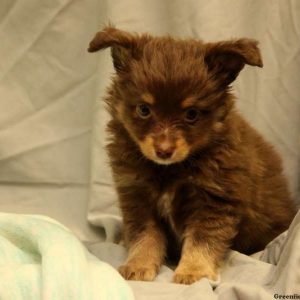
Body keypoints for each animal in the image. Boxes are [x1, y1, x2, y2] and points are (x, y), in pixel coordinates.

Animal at [88, 27, 296, 284]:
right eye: (144, 110)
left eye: (192, 114)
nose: (163, 150)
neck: (170, 169)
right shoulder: (137, 195)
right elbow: (144, 235)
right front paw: (138, 265)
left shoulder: (214, 200)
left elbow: (202, 239)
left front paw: (193, 271)